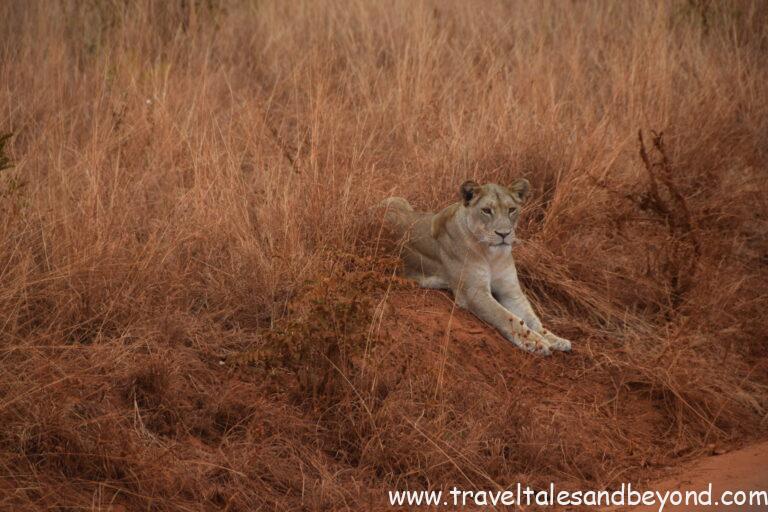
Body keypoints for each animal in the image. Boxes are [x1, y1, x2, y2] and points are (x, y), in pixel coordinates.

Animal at [380, 179, 572, 355]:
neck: (493, 255)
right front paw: (536, 342)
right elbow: (507, 317)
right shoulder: (474, 293)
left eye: (511, 210)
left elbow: (532, 319)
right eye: (486, 210)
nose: (504, 234)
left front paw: (556, 339)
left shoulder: (512, 292)